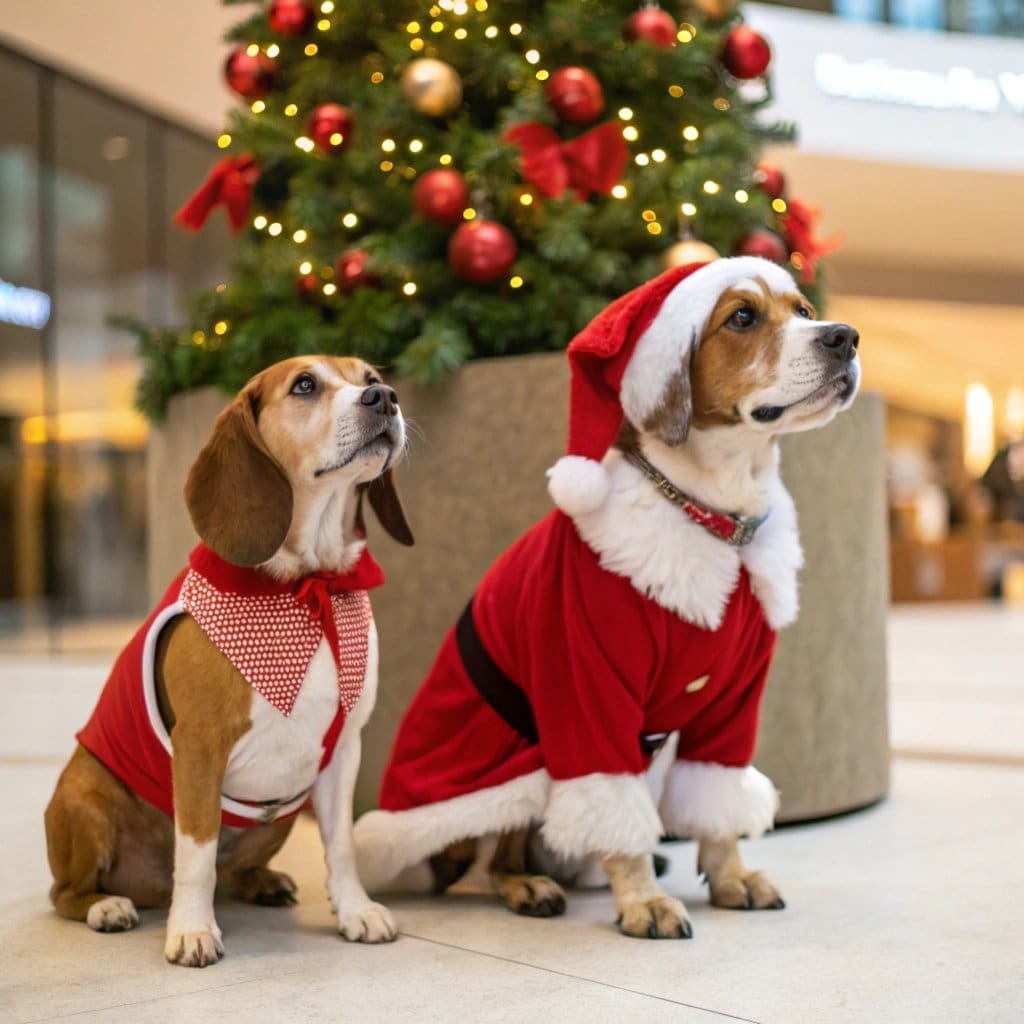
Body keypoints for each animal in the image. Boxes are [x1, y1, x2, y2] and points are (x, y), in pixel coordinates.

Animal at [44, 356, 411, 962]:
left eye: (371, 377)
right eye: (305, 384)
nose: (384, 398)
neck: (305, 588)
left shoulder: (342, 754)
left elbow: (341, 846)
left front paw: (355, 910)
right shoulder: (199, 749)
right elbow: (196, 854)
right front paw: (192, 929)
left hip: (284, 810)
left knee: (235, 872)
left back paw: (262, 882)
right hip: (84, 796)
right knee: (65, 894)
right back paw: (107, 907)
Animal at [352, 256, 856, 937]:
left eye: (803, 311)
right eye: (742, 317)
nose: (845, 338)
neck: (713, 518)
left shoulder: (735, 701)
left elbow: (717, 803)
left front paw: (729, 875)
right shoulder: (586, 680)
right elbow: (612, 804)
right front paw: (643, 899)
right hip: (518, 765)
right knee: (497, 855)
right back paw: (527, 885)